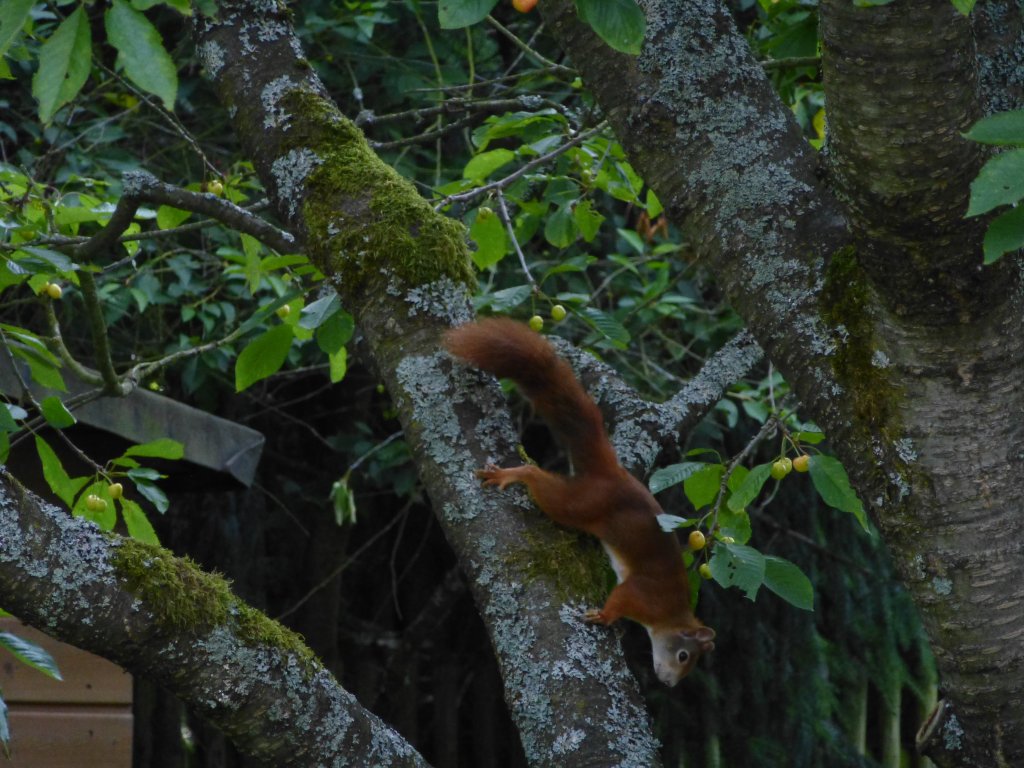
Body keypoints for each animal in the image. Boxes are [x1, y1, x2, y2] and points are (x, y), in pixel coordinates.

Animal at [444, 319, 716, 684]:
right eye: (683, 655)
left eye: (690, 665)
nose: (669, 683)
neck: (670, 615)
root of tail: (612, 474)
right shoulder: (643, 596)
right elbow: (620, 599)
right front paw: (605, 617)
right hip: (580, 504)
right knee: (541, 481)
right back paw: (513, 474)